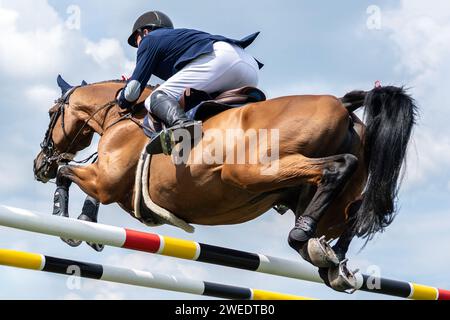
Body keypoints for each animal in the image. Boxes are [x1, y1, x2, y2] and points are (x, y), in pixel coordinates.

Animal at [32, 76, 418, 292]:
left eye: (52, 113)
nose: (39, 165)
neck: (124, 115)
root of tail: (341, 103)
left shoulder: (105, 181)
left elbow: (68, 172)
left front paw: (65, 220)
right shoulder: (106, 181)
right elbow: (79, 175)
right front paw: (85, 223)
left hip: (250, 171)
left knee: (339, 169)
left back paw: (303, 238)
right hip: (318, 203)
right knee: (355, 215)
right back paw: (328, 258)